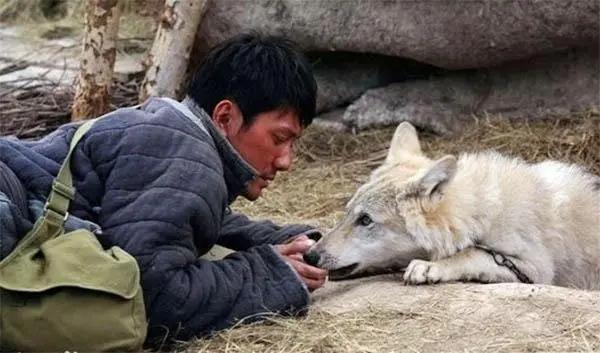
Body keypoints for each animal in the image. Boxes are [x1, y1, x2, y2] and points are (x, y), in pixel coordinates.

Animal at [310, 121, 600, 288]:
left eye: (366, 220)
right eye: (348, 213)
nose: (310, 256)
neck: (479, 215)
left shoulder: (536, 268)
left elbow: (471, 253)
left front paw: (431, 267)